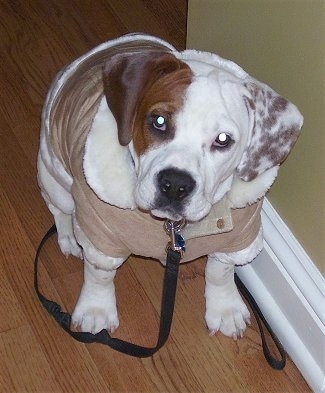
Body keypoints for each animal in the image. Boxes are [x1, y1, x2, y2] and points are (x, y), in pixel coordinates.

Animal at [37, 33, 302, 338]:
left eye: (223, 139)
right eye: (159, 121)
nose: (175, 184)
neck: (172, 227)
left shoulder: (237, 236)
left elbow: (220, 271)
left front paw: (225, 308)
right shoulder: (100, 236)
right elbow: (100, 274)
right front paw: (97, 309)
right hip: (55, 177)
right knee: (59, 209)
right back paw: (69, 236)